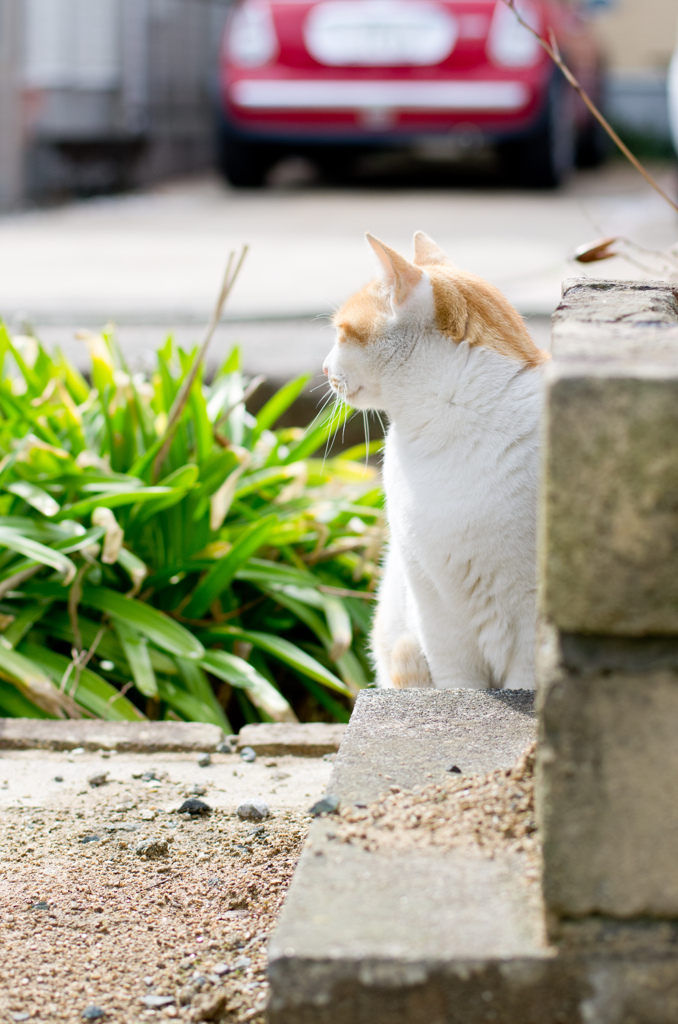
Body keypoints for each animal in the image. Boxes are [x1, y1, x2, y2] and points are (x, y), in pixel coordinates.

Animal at [323, 232, 553, 692]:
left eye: (341, 333)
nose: (323, 369)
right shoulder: (434, 605)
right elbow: (456, 680)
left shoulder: (527, 612)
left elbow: (523, 680)